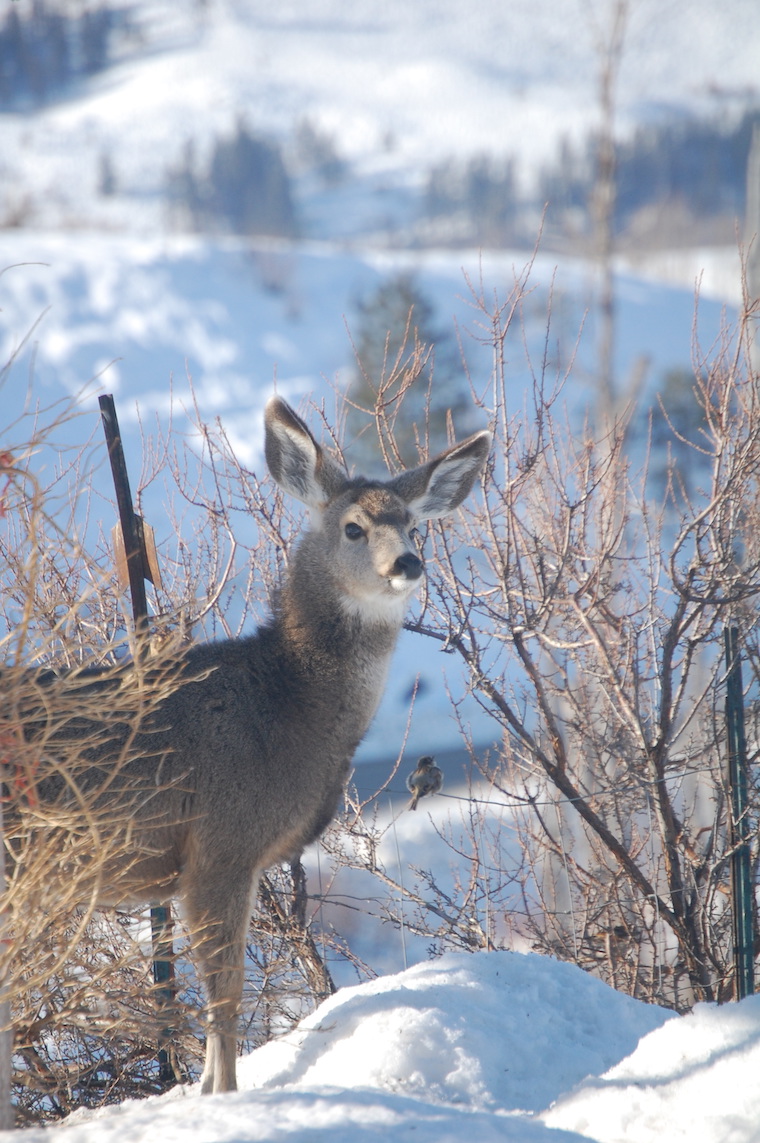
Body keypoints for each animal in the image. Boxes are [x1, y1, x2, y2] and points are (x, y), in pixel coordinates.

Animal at [6, 396, 491, 1095]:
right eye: (353, 528)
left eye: (412, 526)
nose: (408, 564)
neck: (287, 707)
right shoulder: (220, 845)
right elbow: (225, 993)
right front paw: (224, 1096)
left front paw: (208, 1090)